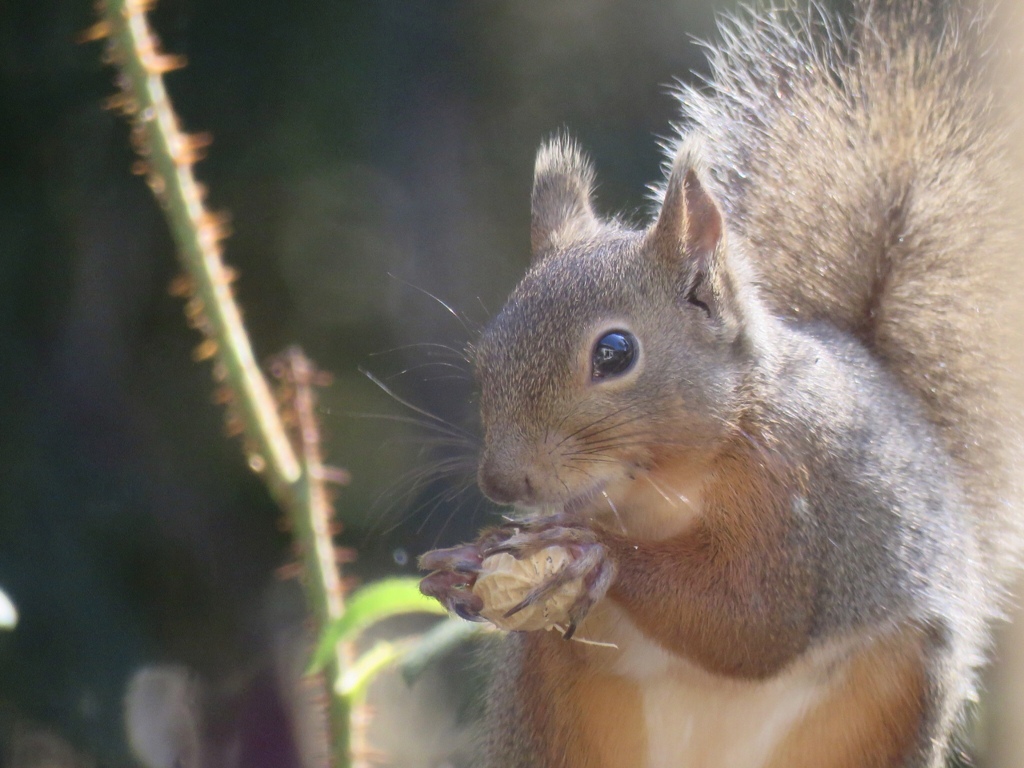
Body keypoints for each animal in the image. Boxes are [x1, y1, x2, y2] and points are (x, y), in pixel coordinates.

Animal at [417, 1, 1024, 768]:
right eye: (486, 350)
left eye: (614, 353)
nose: (502, 482)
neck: (659, 479)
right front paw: (459, 566)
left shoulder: (793, 496)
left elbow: (754, 624)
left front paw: (594, 552)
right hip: (549, 705)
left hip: (889, 701)